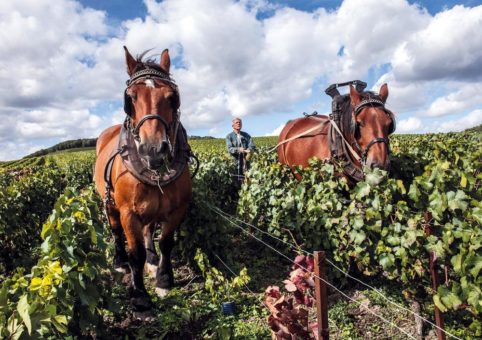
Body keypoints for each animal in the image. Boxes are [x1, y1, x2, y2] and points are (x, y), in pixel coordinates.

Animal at [94, 46, 192, 312]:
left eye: (172, 97)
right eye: (130, 98)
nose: (153, 150)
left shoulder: (177, 209)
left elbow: (166, 242)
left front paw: (164, 279)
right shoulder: (128, 212)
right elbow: (134, 252)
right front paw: (138, 294)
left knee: (149, 229)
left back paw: (152, 259)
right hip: (109, 202)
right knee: (115, 231)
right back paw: (119, 261)